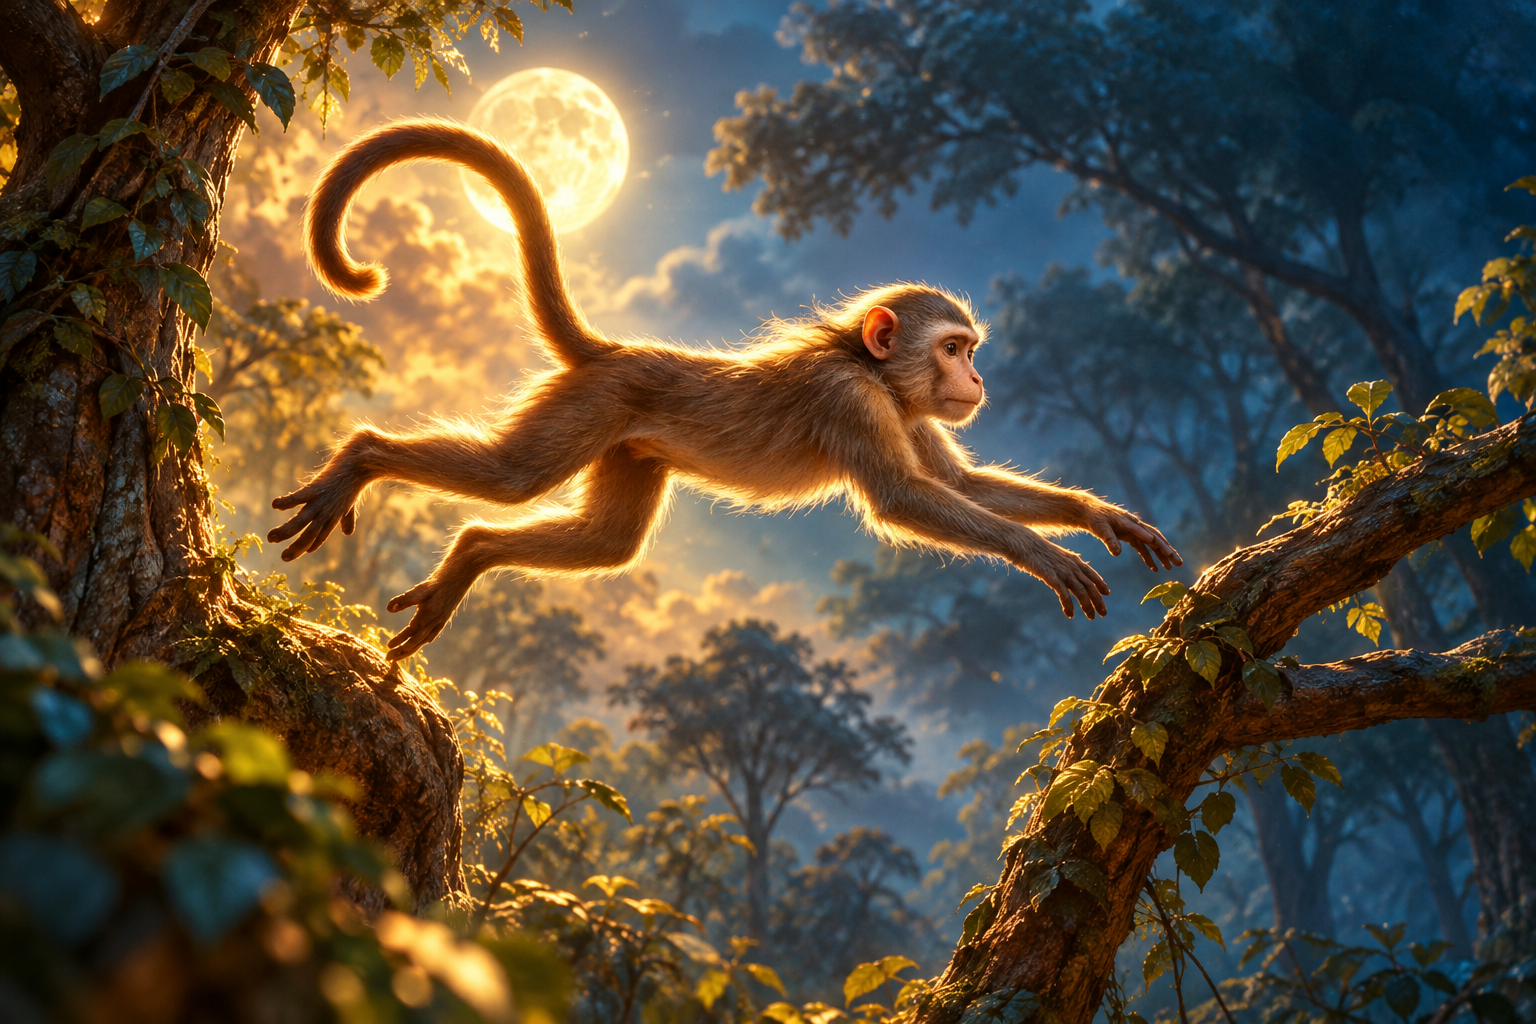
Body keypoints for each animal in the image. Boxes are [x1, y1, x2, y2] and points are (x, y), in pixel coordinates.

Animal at [271, 118, 1182, 660]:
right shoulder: (852, 403)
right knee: (513, 477)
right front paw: (1038, 551)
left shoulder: (906, 410)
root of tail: (619, 352)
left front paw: (1097, 515)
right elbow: (901, 499)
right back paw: (363, 459)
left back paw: (471, 555)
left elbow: (957, 482)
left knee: (605, 542)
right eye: (954, 348)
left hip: (626, 442)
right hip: (592, 407)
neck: (869, 369)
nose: (975, 375)